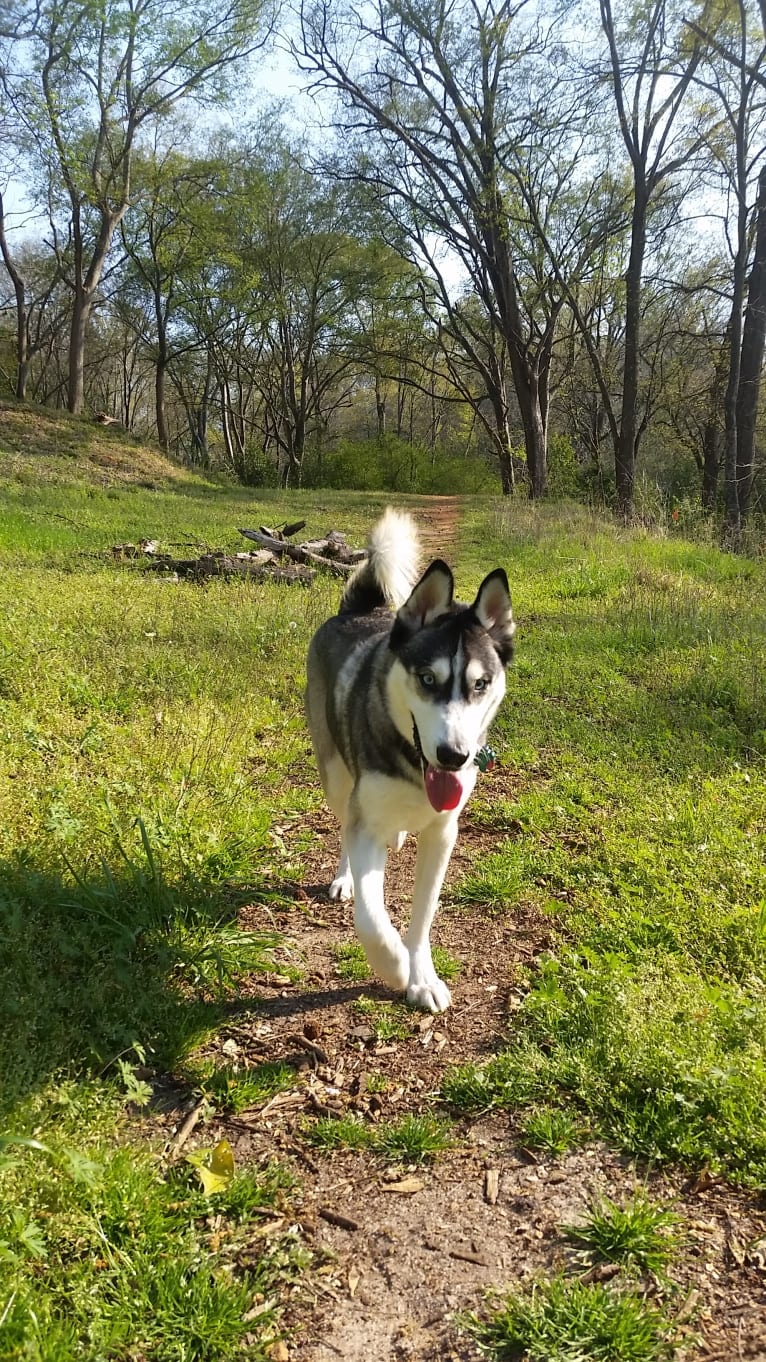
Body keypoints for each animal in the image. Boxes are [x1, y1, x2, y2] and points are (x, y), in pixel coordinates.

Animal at [303, 512, 512, 1013]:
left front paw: (422, 977)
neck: (413, 767)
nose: (454, 756)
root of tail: (359, 610)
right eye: (427, 679)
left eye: (480, 684)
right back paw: (345, 878)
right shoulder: (366, 824)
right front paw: (394, 966)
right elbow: (372, 917)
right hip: (335, 775)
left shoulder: (443, 833)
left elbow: (423, 915)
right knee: (343, 820)